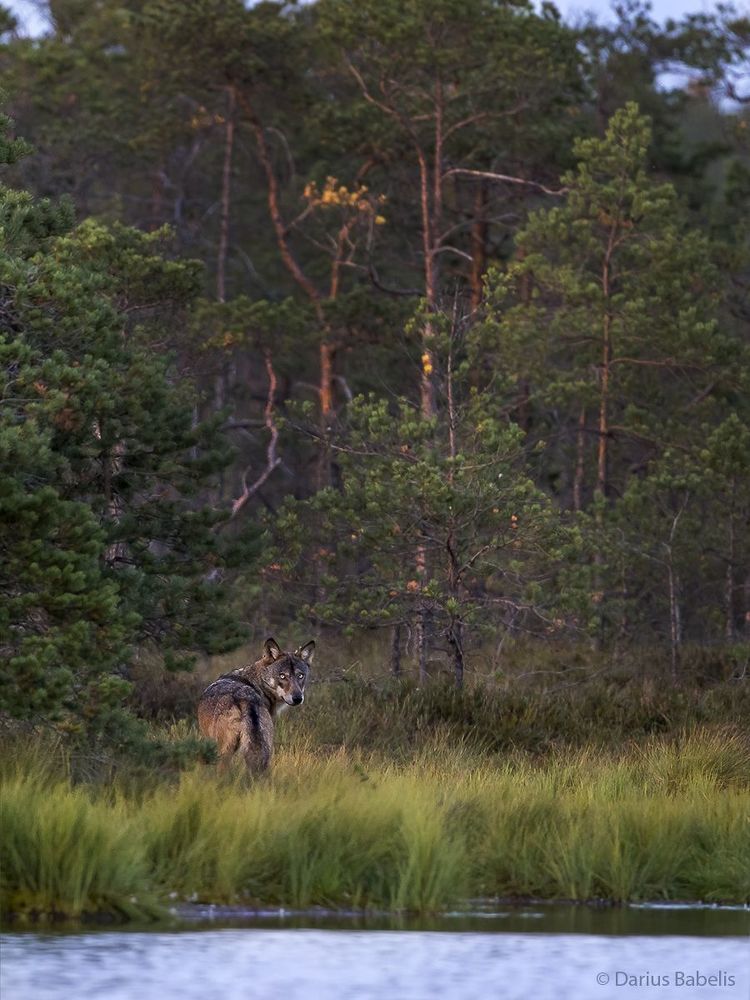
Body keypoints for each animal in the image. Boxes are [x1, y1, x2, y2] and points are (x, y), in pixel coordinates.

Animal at [197, 637, 314, 774]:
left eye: (300, 676)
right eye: (282, 676)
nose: (297, 698)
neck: (257, 684)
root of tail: (245, 698)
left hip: (226, 752)